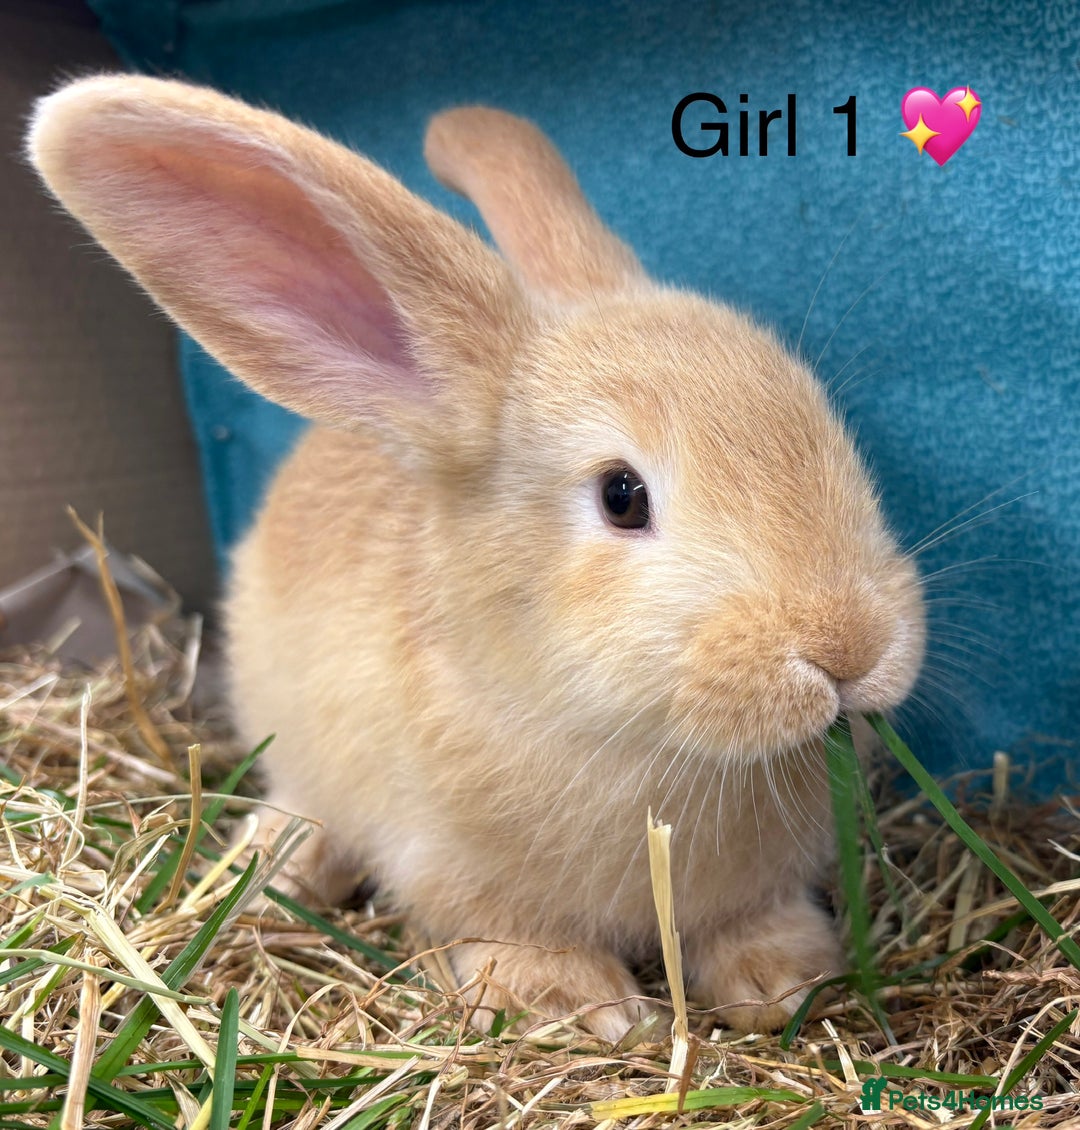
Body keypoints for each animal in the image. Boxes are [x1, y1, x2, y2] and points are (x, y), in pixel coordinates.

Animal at [27, 76, 925, 1041]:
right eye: (622, 495)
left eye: (822, 422)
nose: (851, 648)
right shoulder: (459, 872)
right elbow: (515, 937)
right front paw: (581, 1009)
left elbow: (753, 925)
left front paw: (786, 985)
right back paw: (271, 875)